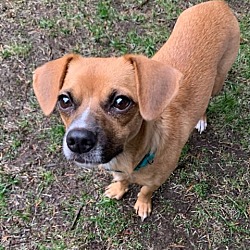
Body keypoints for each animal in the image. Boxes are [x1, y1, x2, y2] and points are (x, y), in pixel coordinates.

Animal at [32, 1, 239, 221]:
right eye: (64, 100)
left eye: (121, 102)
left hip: (218, 79)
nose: (78, 140)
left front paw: (142, 204)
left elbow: (145, 191)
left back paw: (201, 119)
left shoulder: (157, 180)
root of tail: (218, 3)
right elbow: (122, 181)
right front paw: (119, 189)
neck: (129, 159)